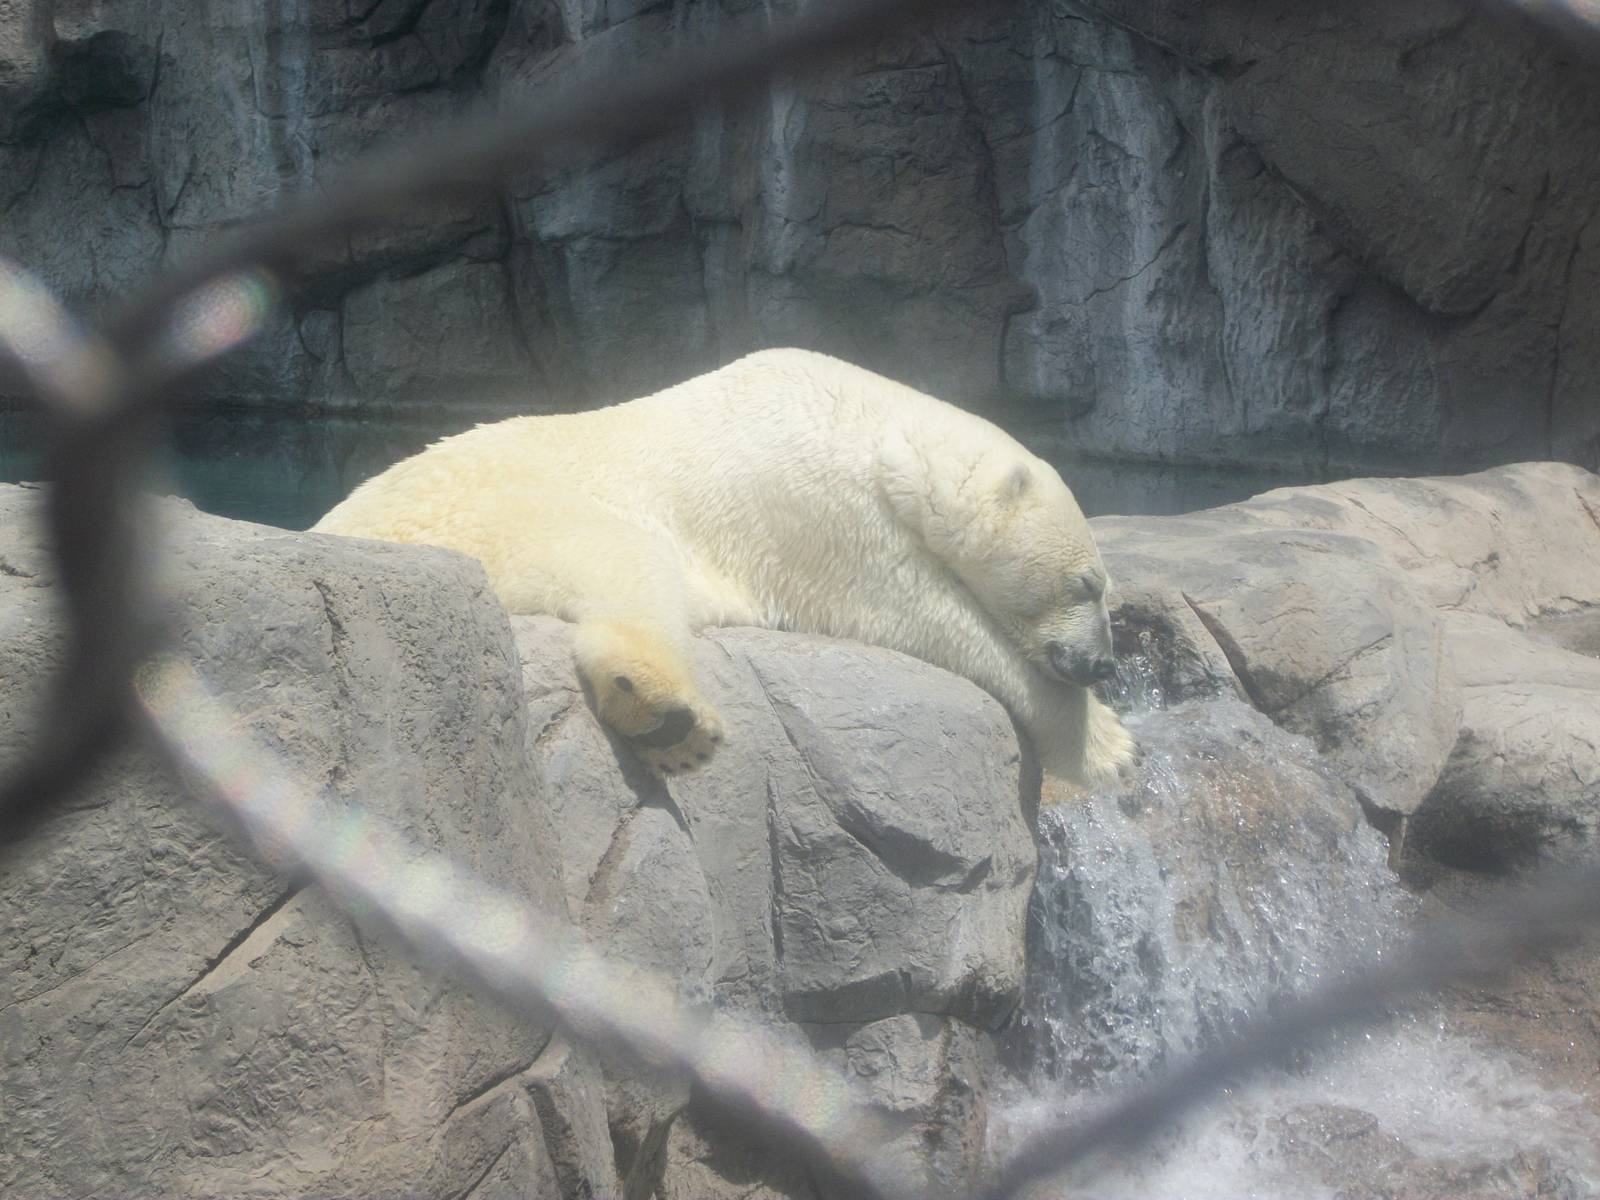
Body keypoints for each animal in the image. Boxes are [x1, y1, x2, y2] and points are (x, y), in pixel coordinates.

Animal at [313, 348, 1134, 788]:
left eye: (1108, 595)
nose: (1103, 663)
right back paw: (668, 711)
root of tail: (332, 523)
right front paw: (1108, 745)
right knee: (626, 559)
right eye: (1087, 584)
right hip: (499, 507)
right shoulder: (815, 503)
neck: (875, 428)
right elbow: (919, 610)